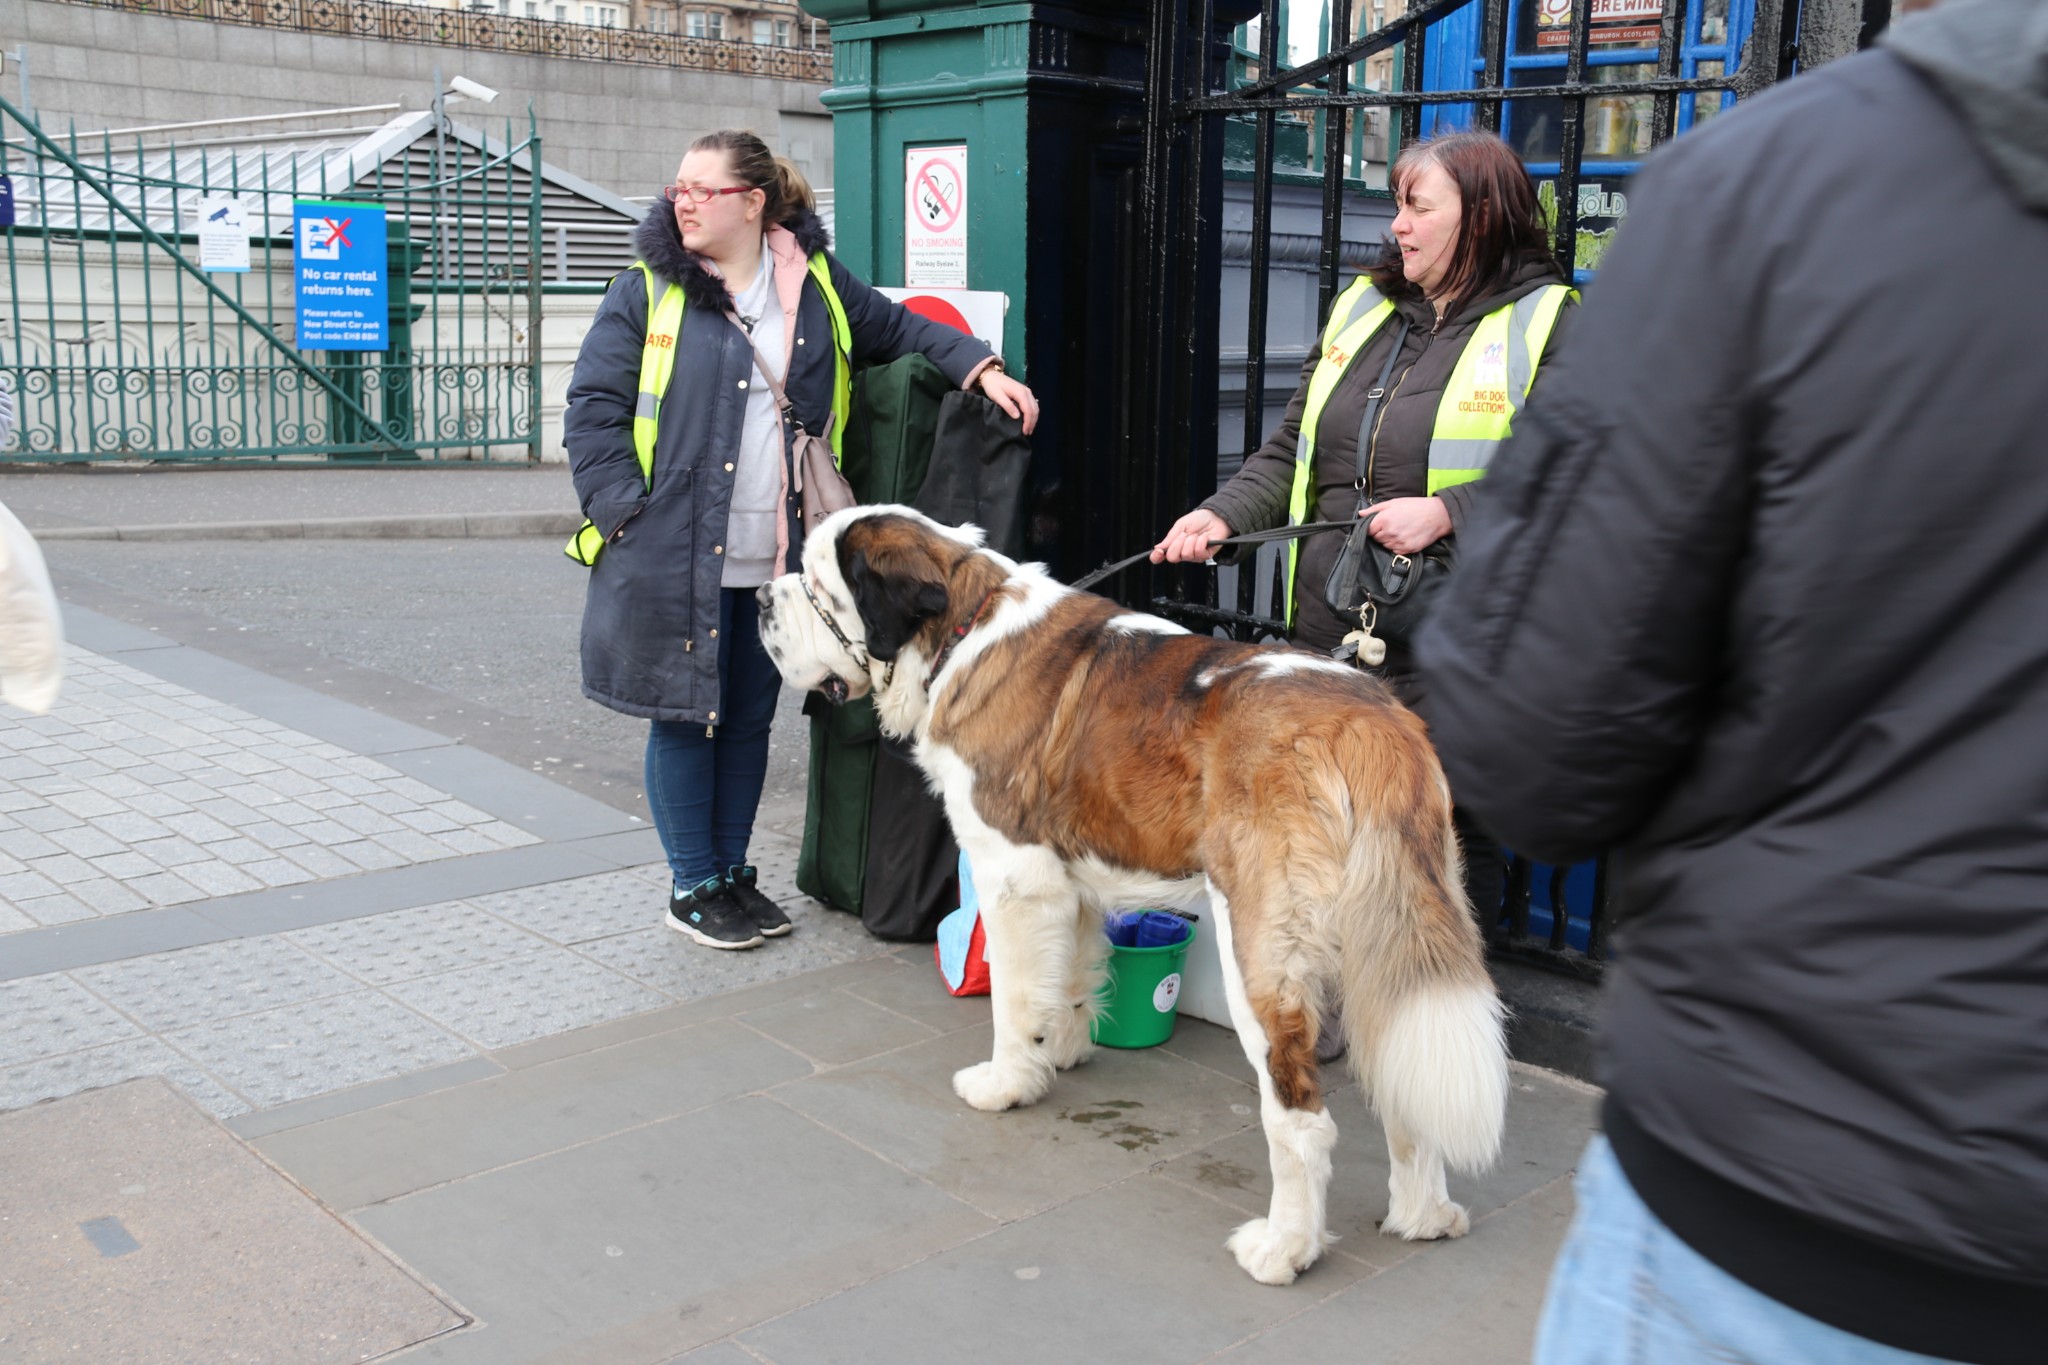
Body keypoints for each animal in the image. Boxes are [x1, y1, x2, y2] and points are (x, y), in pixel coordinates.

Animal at [753, 507, 1507, 1285]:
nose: (759, 598)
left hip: (1261, 949)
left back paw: (1283, 1248)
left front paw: (1007, 1081)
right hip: (1394, 927)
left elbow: (1013, 999)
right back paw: (1424, 1215)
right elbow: (1070, 974)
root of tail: (1369, 723)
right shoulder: (1072, 879)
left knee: (1299, 1116)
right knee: (1403, 1067)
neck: (964, 626)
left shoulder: (1013, 876)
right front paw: (1061, 1051)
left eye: (818, 588)